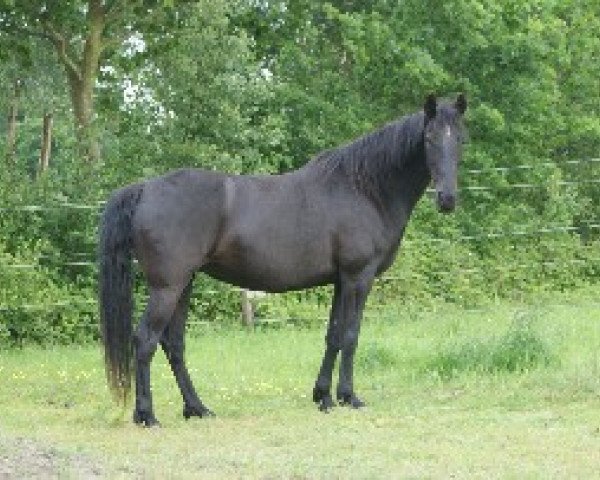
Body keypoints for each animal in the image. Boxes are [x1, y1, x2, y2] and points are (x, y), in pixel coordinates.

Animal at [98, 94, 466, 428]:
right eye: (429, 138)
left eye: (462, 139)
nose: (447, 199)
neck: (364, 190)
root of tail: (145, 189)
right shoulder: (358, 277)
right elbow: (351, 335)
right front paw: (349, 397)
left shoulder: (339, 281)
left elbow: (333, 335)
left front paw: (323, 397)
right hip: (167, 287)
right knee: (145, 340)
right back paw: (147, 416)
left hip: (184, 284)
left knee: (172, 343)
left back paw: (197, 408)